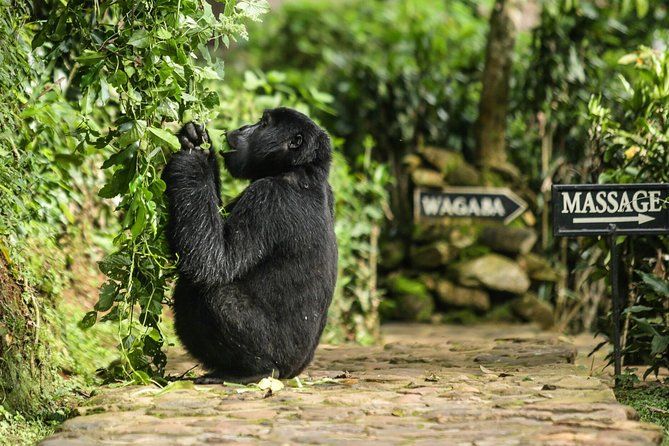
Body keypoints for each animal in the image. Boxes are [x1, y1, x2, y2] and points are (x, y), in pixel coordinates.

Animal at [162, 107, 340, 384]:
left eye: (264, 123)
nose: (244, 127)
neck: (299, 168)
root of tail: (295, 371)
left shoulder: (267, 198)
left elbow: (214, 260)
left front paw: (193, 157)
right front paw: (196, 138)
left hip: (277, 354)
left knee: (212, 294)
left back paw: (253, 371)